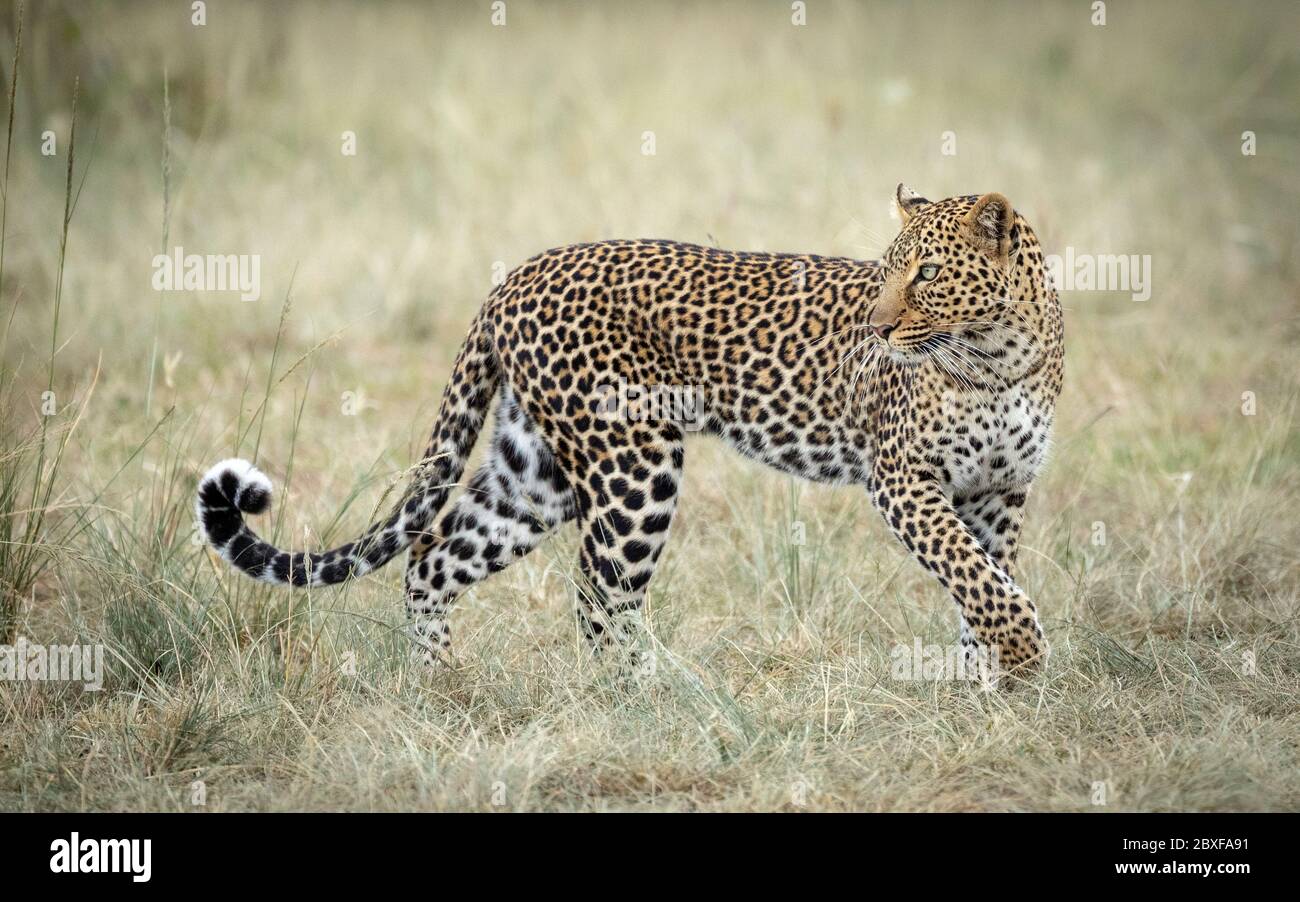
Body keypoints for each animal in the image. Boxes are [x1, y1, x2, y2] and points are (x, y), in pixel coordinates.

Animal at [197, 187, 1060, 681]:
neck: (999, 355)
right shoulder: (904, 480)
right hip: (634, 464)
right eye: (887, 272)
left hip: (533, 472)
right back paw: (646, 702)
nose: (878, 330)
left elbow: (984, 584)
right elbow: (984, 584)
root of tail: (514, 277)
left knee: (434, 555)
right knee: (598, 593)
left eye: (927, 274)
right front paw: (1023, 663)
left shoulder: (1002, 491)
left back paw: (441, 688)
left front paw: (985, 689)